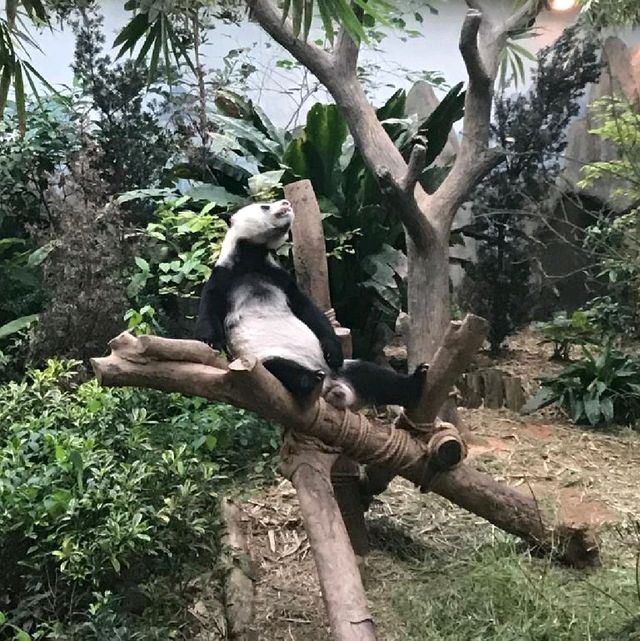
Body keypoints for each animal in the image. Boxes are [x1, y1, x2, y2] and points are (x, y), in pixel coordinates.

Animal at [192, 199, 428, 410]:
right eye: (265, 206)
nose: (286, 203)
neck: (252, 257)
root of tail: (330, 387)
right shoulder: (225, 276)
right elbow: (209, 308)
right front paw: (211, 341)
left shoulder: (279, 277)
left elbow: (309, 310)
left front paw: (333, 350)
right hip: (261, 359)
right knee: (279, 369)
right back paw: (308, 380)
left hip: (341, 369)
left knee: (373, 375)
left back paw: (416, 380)